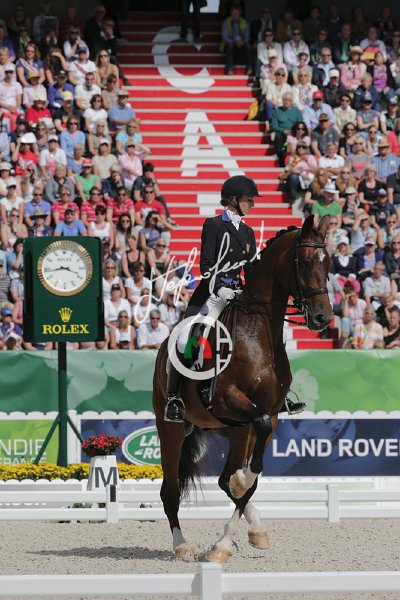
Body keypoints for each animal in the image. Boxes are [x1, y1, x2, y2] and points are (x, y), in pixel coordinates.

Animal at [152, 215, 332, 563]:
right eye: (304, 263)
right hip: (172, 427)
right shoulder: (227, 400)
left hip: (235, 430)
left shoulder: (271, 414)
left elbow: (252, 478)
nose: (322, 318)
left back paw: (250, 524)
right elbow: (246, 474)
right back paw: (182, 546)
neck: (260, 332)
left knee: (224, 477)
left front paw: (228, 542)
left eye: (328, 262)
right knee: (170, 491)